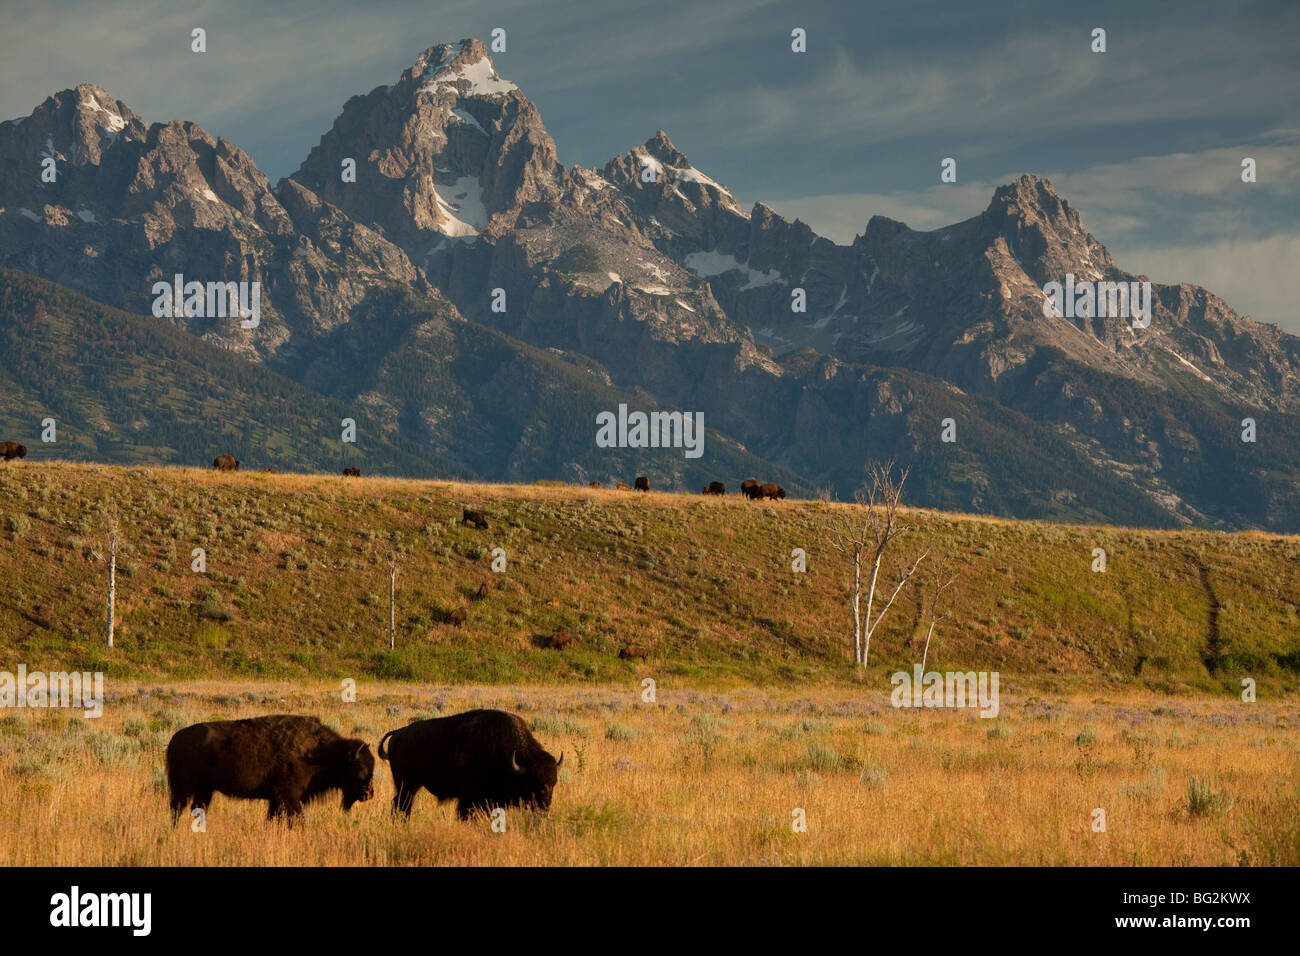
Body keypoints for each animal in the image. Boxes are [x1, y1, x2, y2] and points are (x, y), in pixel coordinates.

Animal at [165, 717, 374, 822]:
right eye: (359, 767)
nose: (369, 794)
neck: (320, 752)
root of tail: (175, 738)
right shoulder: (288, 798)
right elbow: (297, 819)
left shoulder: (275, 801)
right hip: (182, 788)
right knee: (177, 808)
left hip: (205, 789)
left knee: (197, 808)